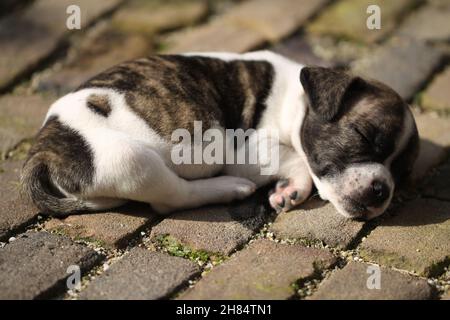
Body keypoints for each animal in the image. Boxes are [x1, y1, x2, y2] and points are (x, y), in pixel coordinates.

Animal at [21, 50, 420, 220]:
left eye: (401, 175)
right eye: (364, 135)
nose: (381, 189)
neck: (296, 100)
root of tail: (42, 151)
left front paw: (290, 190)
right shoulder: (249, 151)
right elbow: (296, 158)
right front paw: (295, 184)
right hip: (130, 160)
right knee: (173, 198)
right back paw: (228, 188)